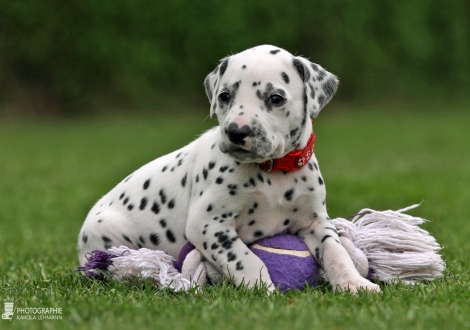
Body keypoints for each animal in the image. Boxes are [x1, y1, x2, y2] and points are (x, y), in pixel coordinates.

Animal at [77, 44, 378, 294]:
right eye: (224, 96)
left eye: (276, 98)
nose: (236, 132)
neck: (272, 173)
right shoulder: (208, 225)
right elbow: (247, 258)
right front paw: (263, 290)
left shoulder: (315, 221)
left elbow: (336, 252)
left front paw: (354, 283)